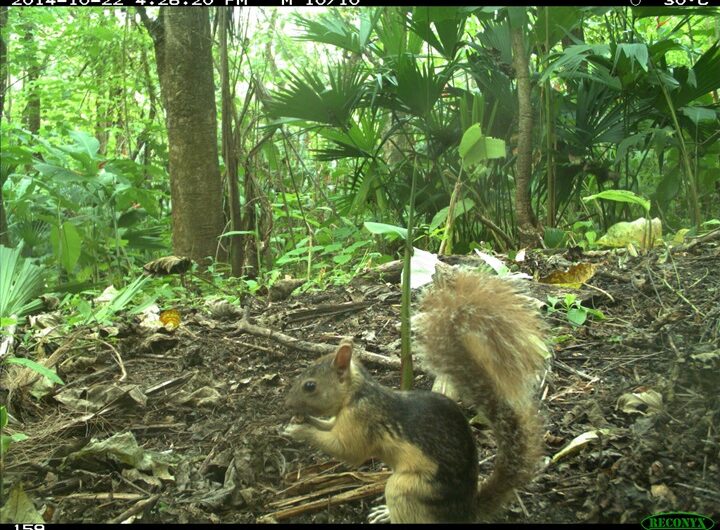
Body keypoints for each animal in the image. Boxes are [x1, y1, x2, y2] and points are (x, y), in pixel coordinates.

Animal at [282, 266, 544, 520]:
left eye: (310, 386)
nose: (288, 404)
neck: (356, 394)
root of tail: (465, 512)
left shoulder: (362, 419)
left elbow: (347, 450)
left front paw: (299, 431)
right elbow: (328, 426)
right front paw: (300, 421)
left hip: (407, 488)